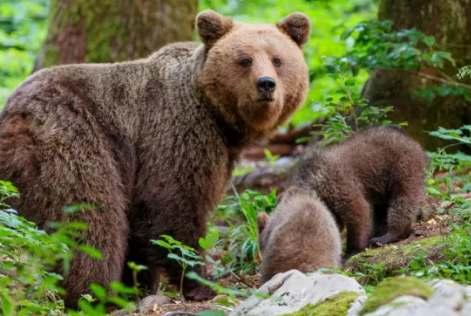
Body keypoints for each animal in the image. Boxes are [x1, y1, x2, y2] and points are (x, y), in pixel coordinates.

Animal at [0, 10, 314, 306]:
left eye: (277, 59)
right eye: (245, 60)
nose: (266, 84)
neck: (219, 120)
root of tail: (12, 114)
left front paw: (138, 285)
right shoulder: (176, 133)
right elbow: (173, 210)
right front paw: (201, 284)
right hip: (71, 142)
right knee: (89, 221)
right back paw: (94, 293)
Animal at [296, 127, 428, 260]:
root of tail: (410, 139)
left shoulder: (337, 184)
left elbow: (358, 210)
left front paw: (352, 250)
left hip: (402, 165)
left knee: (402, 200)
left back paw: (392, 233)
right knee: (383, 207)